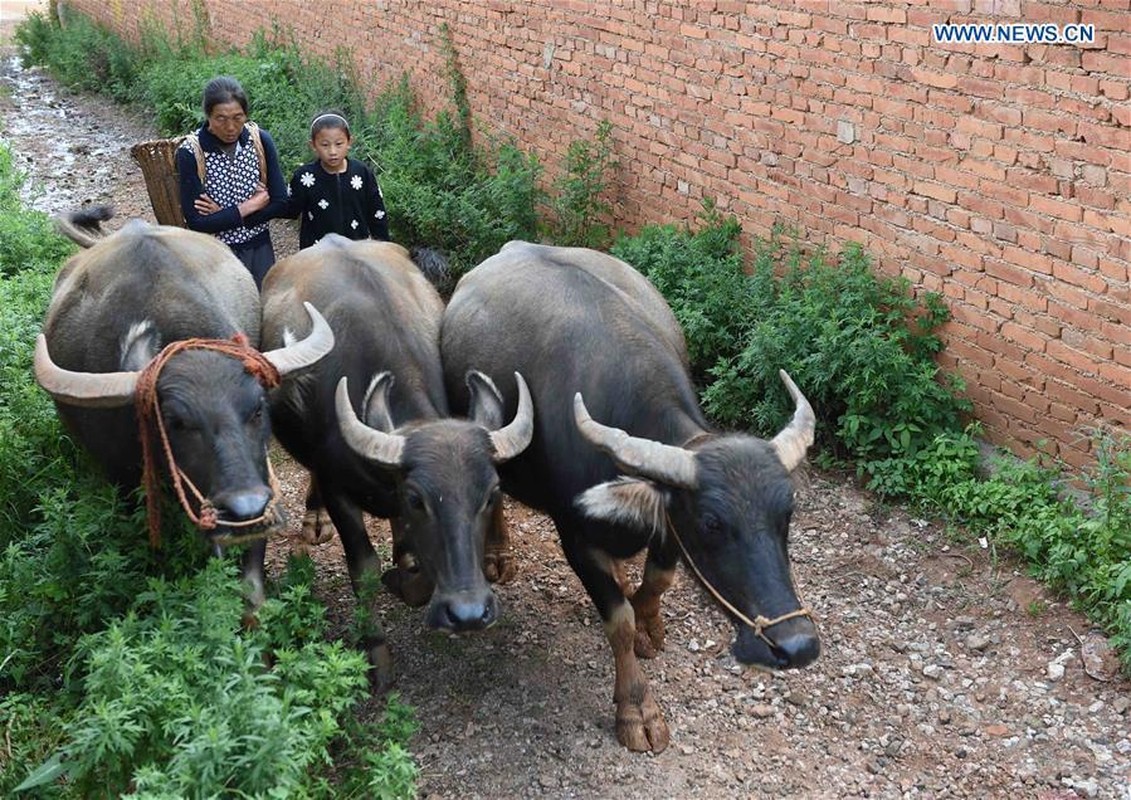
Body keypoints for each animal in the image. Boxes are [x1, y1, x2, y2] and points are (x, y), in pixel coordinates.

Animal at [260, 236, 533, 687]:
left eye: (492, 495)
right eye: (417, 499)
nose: (469, 614)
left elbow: (413, 564)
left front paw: (404, 576)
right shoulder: (340, 490)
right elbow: (365, 568)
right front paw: (376, 651)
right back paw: (314, 519)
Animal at [441, 241, 823, 755]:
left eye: (788, 514)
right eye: (712, 523)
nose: (796, 644)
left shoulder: (667, 528)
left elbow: (659, 580)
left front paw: (649, 625)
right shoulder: (576, 536)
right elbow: (616, 621)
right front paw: (638, 709)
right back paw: (497, 554)